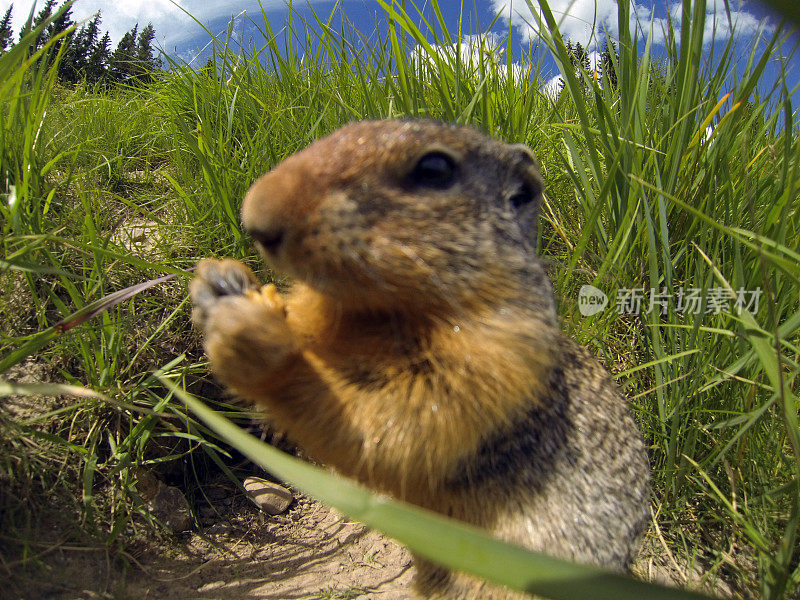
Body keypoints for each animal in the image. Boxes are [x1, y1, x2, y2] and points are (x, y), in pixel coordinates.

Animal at [192, 119, 648, 596]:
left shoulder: (497, 361)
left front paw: (254, 338)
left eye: (434, 169)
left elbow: (394, 424)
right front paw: (219, 280)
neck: (379, 313)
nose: (254, 215)